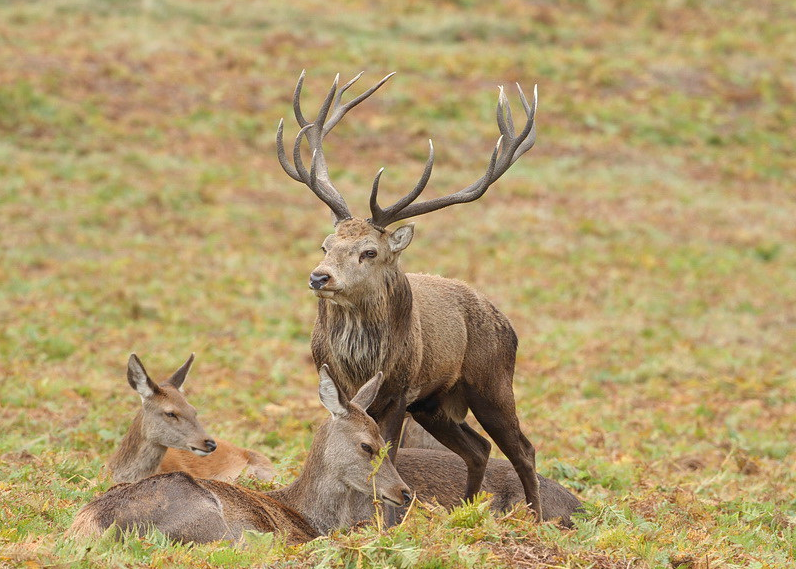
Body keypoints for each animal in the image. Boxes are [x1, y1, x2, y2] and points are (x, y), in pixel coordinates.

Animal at [276, 70, 543, 519]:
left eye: (369, 251)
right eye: (325, 244)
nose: (319, 277)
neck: (362, 359)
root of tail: (506, 322)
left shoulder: (400, 390)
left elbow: (390, 453)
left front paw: (388, 518)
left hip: (491, 381)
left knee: (524, 448)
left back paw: (537, 520)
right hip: (435, 403)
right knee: (478, 448)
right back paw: (465, 510)